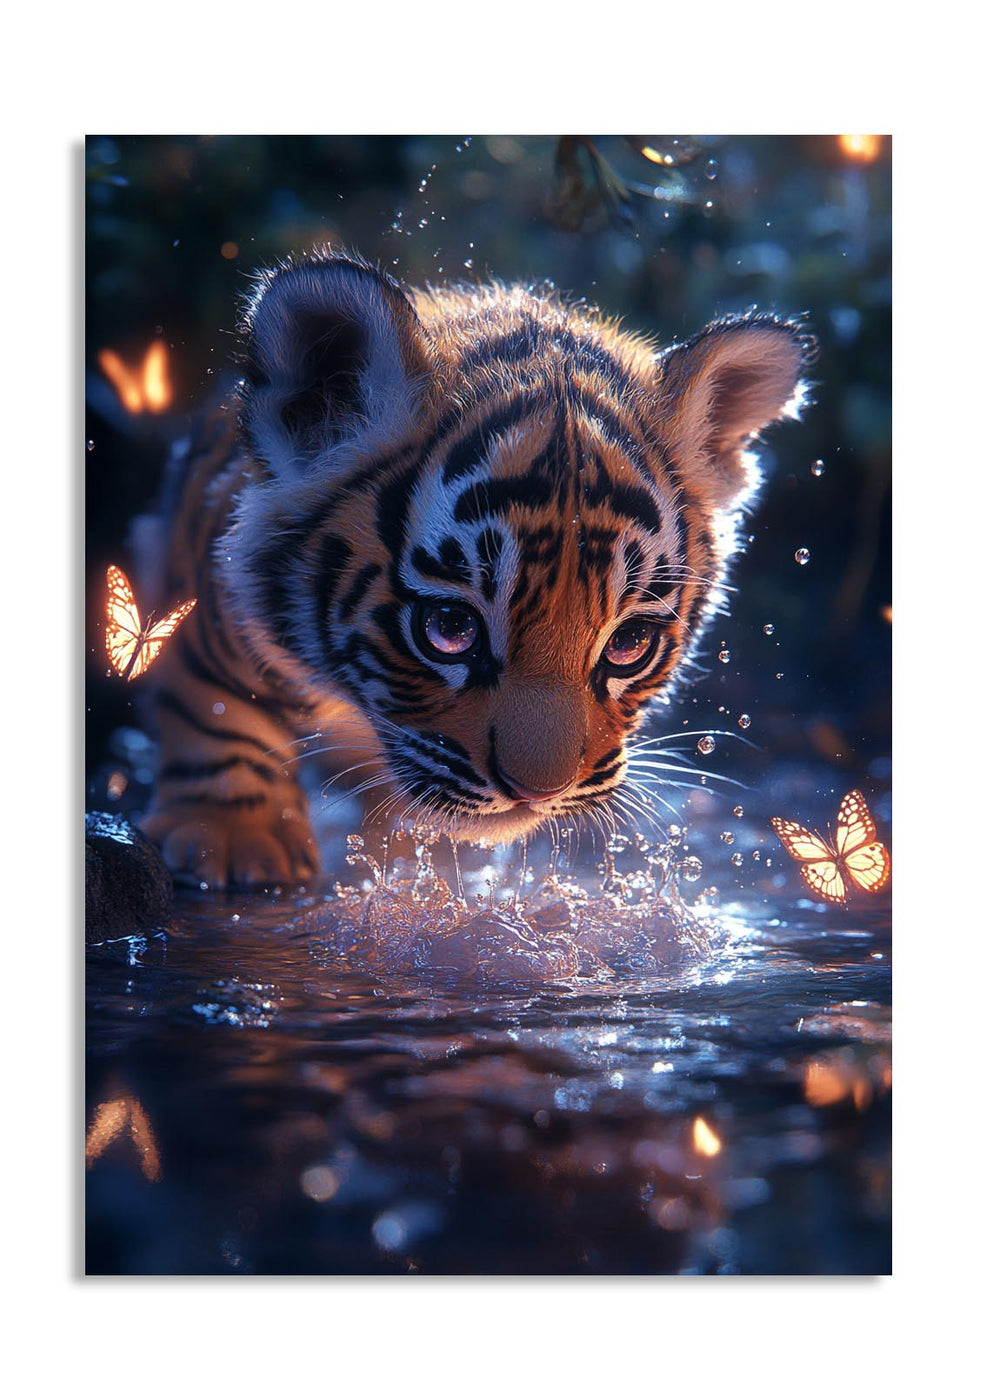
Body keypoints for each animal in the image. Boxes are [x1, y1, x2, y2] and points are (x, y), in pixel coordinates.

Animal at [137, 249, 813, 888]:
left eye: (629, 643)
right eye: (450, 628)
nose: (536, 793)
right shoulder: (210, 594)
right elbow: (217, 703)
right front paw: (234, 837)